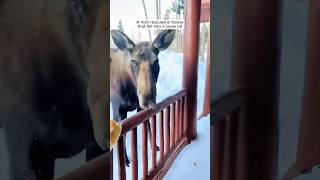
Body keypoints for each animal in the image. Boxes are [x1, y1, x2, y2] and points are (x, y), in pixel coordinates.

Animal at [110, 28, 175, 165]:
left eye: (156, 61)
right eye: (133, 61)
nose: (148, 98)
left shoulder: (139, 108)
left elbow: (148, 126)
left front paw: (154, 146)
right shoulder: (117, 107)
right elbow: (121, 135)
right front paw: (125, 159)